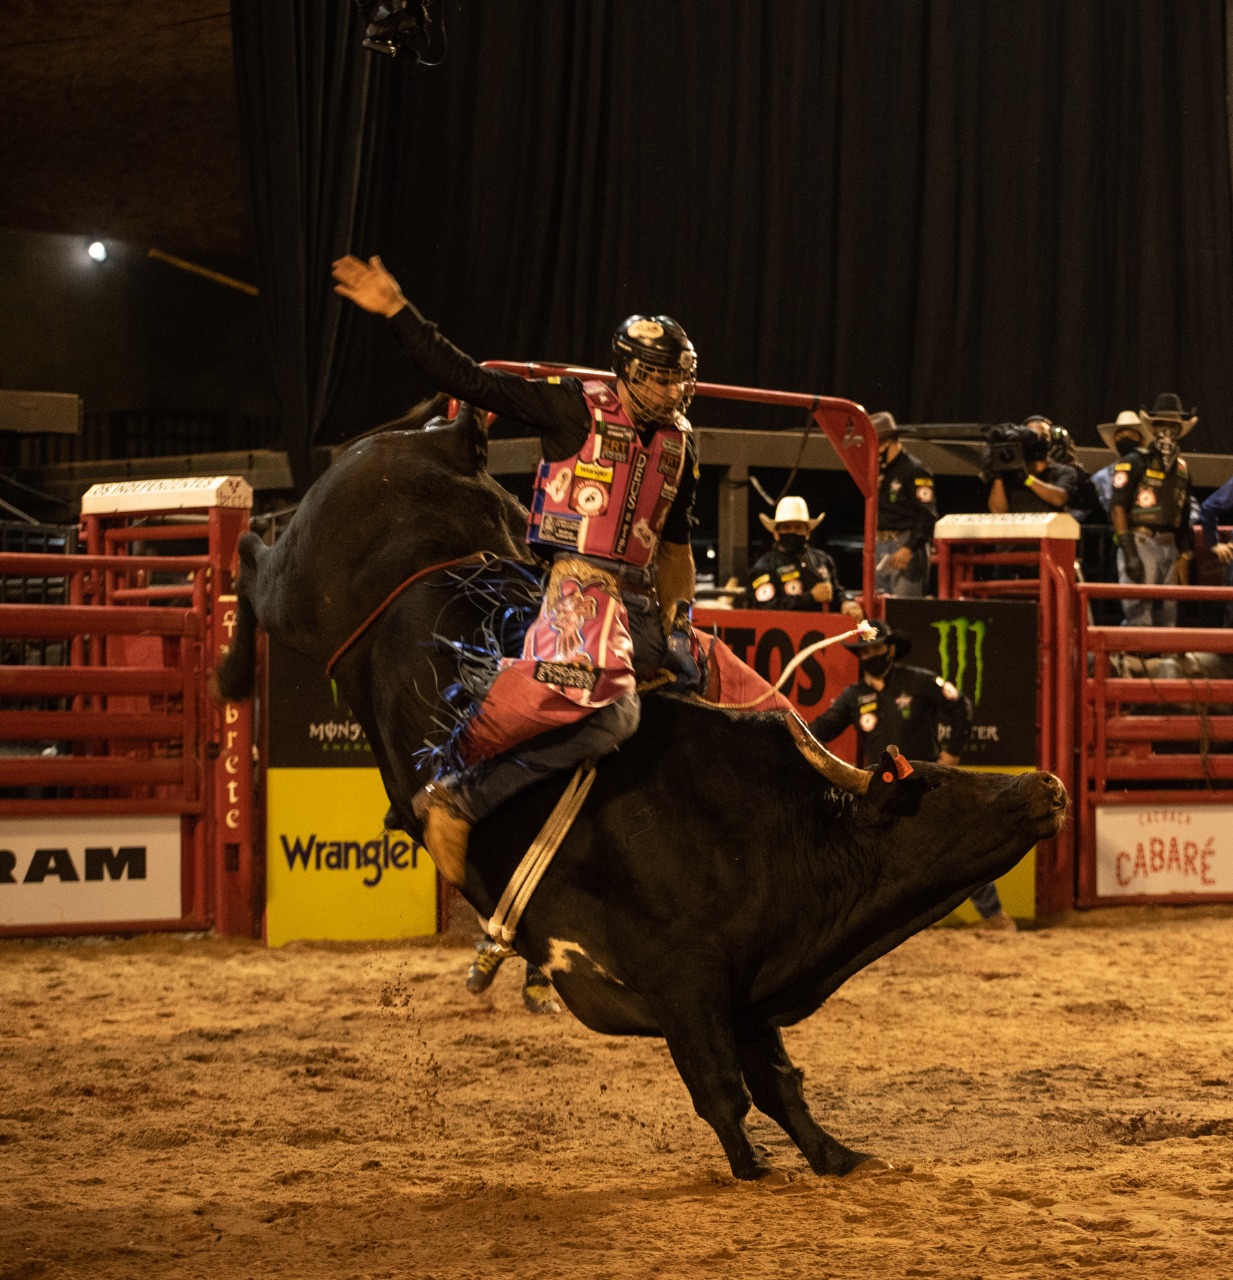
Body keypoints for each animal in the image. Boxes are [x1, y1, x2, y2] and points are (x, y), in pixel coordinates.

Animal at [218, 407, 1070, 1177]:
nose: (1048, 784)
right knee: (252, 556)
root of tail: (439, 442)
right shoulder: (685, 979)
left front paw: (838, 1156)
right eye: (936, 783)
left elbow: (779, 1084)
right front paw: (753, 1169)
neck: (777, 831)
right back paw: (229, 666)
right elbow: (721, 1091)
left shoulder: (745, 993)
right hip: (301, 592)